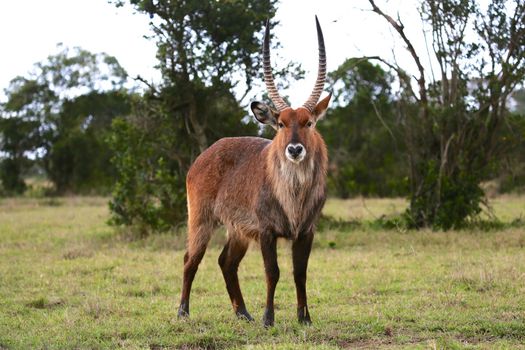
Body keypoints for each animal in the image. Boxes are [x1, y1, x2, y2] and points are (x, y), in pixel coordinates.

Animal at [178, 16, 330, 328]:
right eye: (281, 123)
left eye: (308, 122)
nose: (294, 149)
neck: (293, 194)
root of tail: (205, 154)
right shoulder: (266, 231)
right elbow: (273, 272)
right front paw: (268, 319)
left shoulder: (307, 231)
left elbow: (300, 274)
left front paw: (304, 319)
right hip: (201, 219)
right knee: (190, 259)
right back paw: (183, 312)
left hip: (237, 230)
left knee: (226, 262)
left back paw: (243, 313)